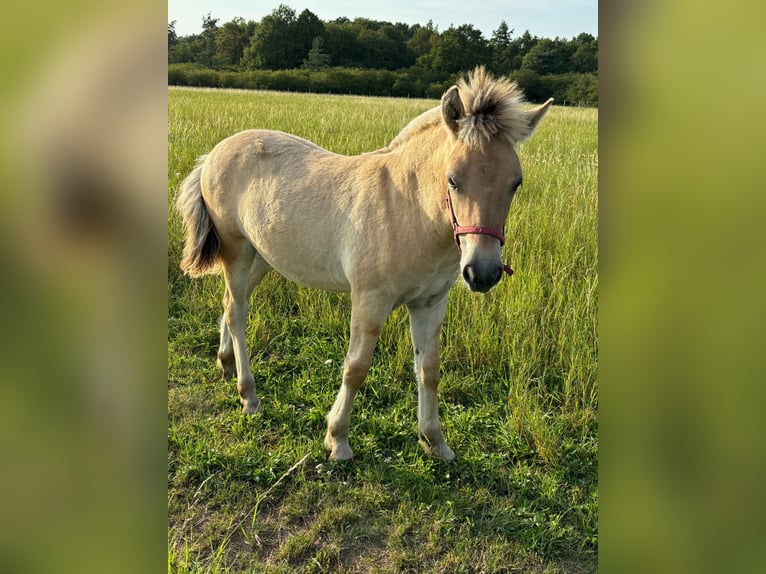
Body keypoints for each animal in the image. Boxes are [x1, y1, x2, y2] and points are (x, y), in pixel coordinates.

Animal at [176, 67, 553, 461]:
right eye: (453, 179)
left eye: (516, 182)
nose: (482, 272)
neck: (410, 209)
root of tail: (215, 151)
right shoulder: (370, 299)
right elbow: (356, 367)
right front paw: (337, 439)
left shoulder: (430, 303)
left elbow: (429, 369)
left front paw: (435, 441)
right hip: (237, 251)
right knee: (238, 312)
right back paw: (249, 395)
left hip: (261, 256)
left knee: (230, 304)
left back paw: (225, 363)